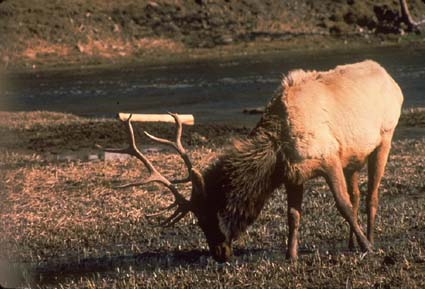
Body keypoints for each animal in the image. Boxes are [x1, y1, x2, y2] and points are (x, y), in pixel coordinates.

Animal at [105, 60, 400, 260]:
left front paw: (368, 248)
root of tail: (390, 78)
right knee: (358, 194)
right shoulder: (294, 174)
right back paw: (351, 243)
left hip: (385, 138)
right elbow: (293, 215)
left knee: (371, 195)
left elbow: (343, 206)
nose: (220, 253)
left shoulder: (328, 158)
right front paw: (290, 256)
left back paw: (368, 240)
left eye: (206, 215)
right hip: (354, 156)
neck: (277, 148)